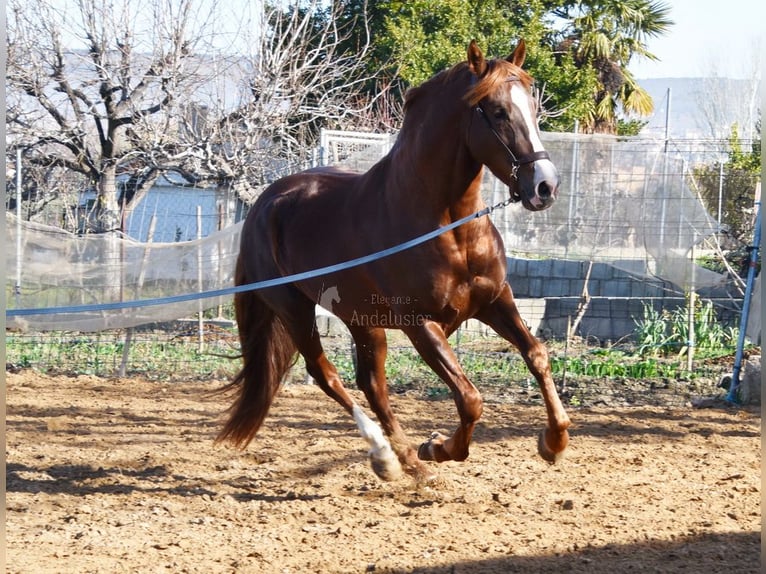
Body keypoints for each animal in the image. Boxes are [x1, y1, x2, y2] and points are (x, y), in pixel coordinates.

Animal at [216, 38, 568, 484]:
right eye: (498, 111)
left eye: (533, 108)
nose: (545, 186)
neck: (448, 227)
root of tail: (265, 204)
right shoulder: (421, 325)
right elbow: (469, 398)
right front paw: (438, 447)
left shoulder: (494, 301)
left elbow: (537, 355)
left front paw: (554, 442)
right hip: (295, 310)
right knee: (327, 375)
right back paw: (388, 455)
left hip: (361, 321)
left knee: (371, 383)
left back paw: (406, 460)